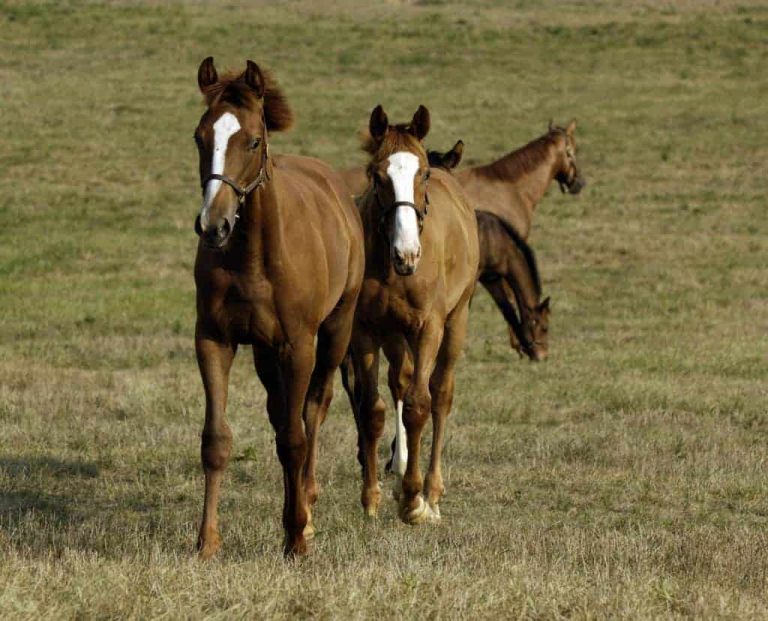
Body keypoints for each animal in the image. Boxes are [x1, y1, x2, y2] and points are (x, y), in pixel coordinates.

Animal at [190, 55, 362, 556]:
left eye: (253, 140)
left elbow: (294, 438)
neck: (253, 257)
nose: (213, 225)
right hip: (265, 352)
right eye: (200, 137)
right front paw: (206, 543)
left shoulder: (297, 346)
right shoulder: (214, 340)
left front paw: (297, 536)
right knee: (280, 410)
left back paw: (307, 507)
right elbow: (217, 440)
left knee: (313, 409)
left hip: (335, 331)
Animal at [350, 105, 480, 524]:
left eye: (422, 173)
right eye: (377, 175)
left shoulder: (428, 328)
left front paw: (413, 499)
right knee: (399, 382)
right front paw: (372, 496)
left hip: (456, 322)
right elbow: (372, 408)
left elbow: (420, 404)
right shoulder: (366, 330)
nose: (408, 254)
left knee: (440, 394)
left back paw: (432, 492)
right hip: (394, 334)